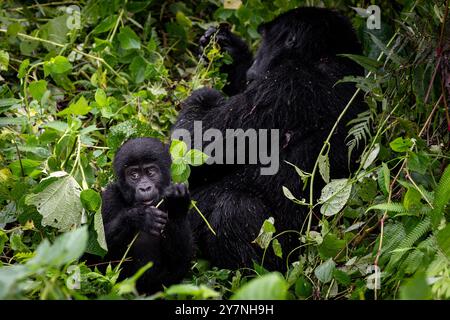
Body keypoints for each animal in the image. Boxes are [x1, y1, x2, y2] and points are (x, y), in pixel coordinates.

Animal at [101, 137, 192, 292]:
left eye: (150, 172)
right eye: (134, 175)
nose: (145, 188)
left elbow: (181, 262)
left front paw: (176, 204)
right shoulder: (109, 196)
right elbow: (96, 248)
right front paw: (140, 217)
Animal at [172, 7, 366, 270]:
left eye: (265, 40)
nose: (254, 64)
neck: (325, 57)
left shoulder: (285, 83)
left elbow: (191, 148)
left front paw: (205, 96)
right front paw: (230, 50)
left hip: (288, 254)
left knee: (234, 209)